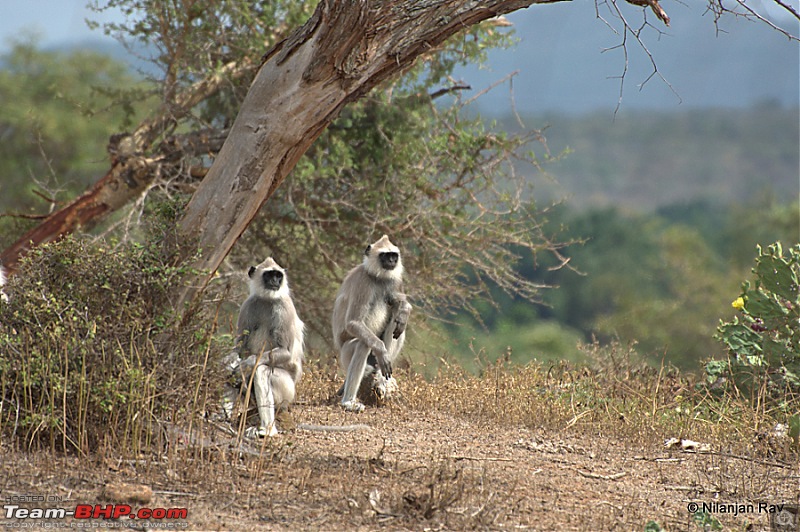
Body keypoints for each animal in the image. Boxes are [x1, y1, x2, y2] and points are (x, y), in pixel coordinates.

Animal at [225, 256, 306, 436]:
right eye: (269, 275)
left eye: (278, 276)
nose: (275, 282)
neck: (268, 299)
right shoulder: (248, 304)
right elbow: (237, 350)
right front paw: (231, 361)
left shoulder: (284, 307)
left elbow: (285, 352)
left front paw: (247, 364)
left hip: (287, 392)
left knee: (261, 370)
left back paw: (267, 429)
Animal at [332, 235, 412, 414]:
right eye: (385, 255)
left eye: (393, 255)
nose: (391, 261)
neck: (378, 277)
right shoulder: (363, 281)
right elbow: (353, 322)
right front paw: (382, 350)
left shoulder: (395, 280)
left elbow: (399, 305)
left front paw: (405, 309)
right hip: (345, 354)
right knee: (363, 344)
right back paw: (348, 401)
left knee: (397, 324)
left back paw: (381, 375)